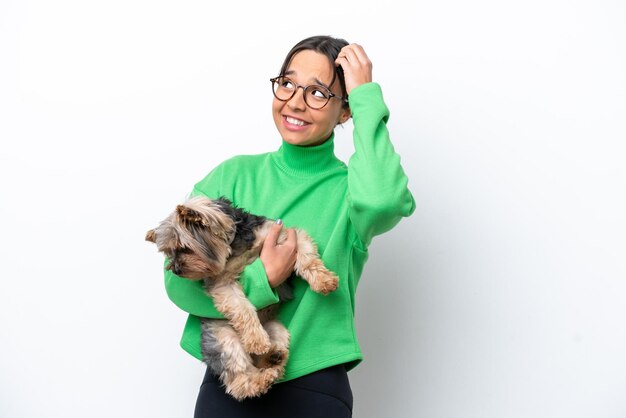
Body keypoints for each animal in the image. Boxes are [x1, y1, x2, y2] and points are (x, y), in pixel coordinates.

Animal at [144, 196, 338, 398]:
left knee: (264, 357)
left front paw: (324, 280)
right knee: (239, 381)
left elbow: (307, 257)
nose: (175, 269)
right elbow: (242, 309)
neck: (233, 244)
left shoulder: (285, 238)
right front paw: (257, 340)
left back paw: (273, 358)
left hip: (277, 329)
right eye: (168, 253)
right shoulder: (223, 283)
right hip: (223, 336)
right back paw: (261, 378)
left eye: (184, 248)